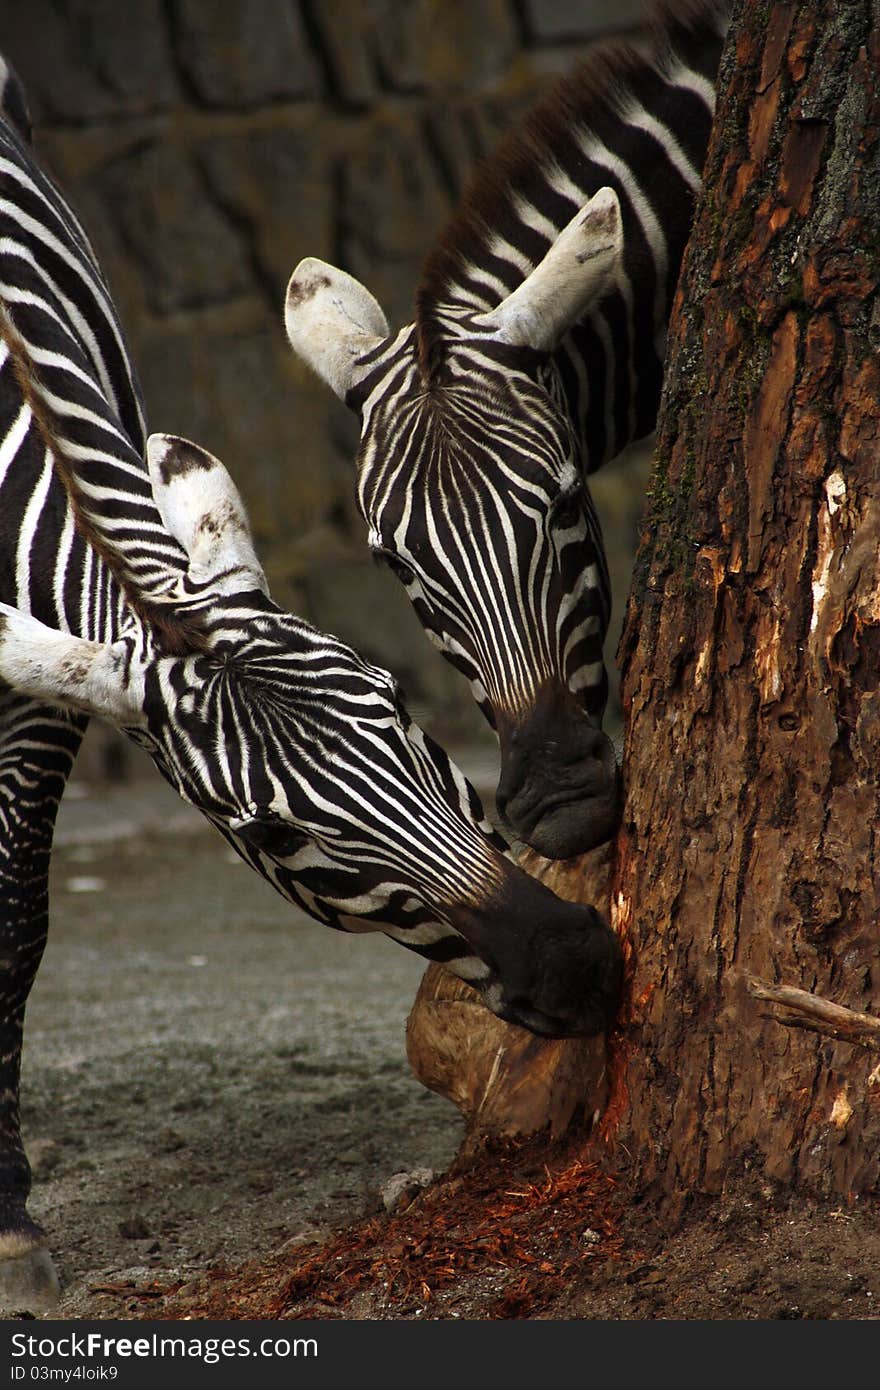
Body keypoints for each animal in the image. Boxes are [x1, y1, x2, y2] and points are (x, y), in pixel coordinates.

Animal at [0, 65, 620, 1306]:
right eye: (272, 835)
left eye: (406, 719)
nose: (583, 964)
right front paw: (5, 1218)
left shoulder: (47, 707)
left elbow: (21, 919)